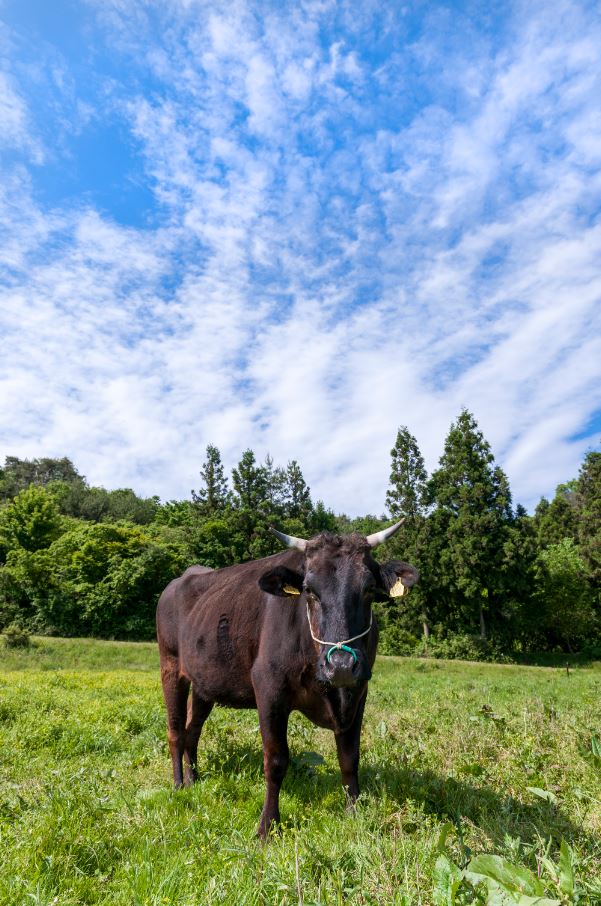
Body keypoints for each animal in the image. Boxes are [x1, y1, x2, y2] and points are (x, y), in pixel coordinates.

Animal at [155, 520, 418, 836]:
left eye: (368, 589)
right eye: (308, 590)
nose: (341, 665)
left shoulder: (358, 692)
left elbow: (350, 757)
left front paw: (354, 813)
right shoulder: (269, 689)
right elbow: (277, 760)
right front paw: (267, 826)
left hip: (204, 683)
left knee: (193, 728)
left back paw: (194, 779)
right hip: (170, 667)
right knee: (175, 730)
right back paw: (178, 784)